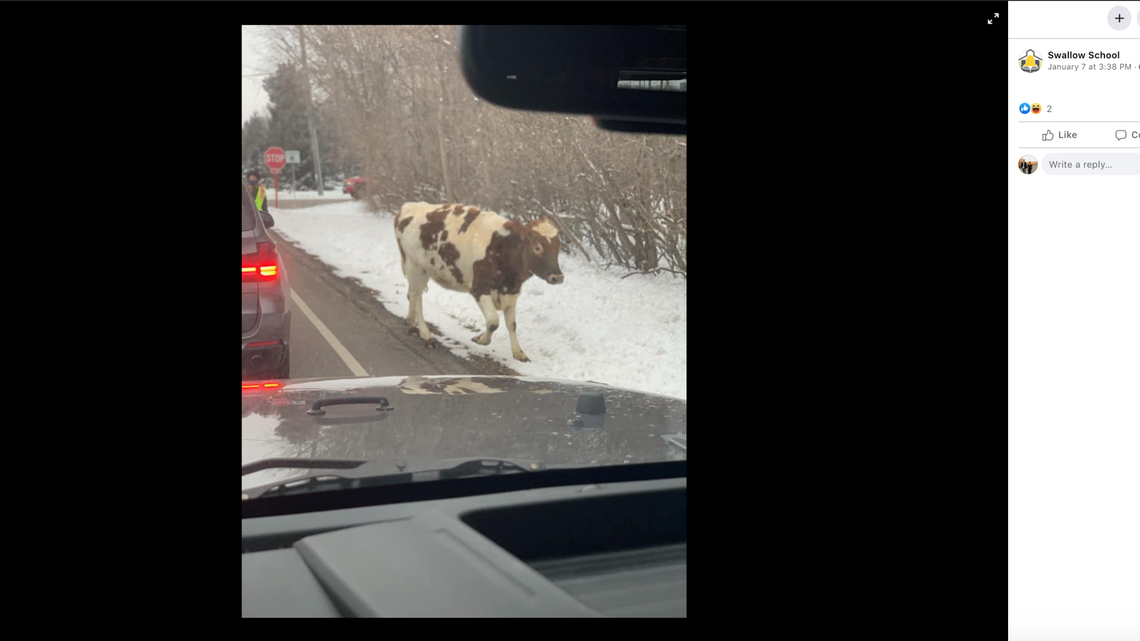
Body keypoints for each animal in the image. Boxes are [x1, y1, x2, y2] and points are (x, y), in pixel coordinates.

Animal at [394, 202, 564, 362]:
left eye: (557, 247)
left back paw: (411, 324)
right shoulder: (479, 288)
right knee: (416, 297)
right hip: (415, 267)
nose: (558, 277)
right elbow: (493, 321)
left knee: (412, 295)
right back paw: (426, 335)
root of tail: (409, 207)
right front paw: (481, 339)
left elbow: (512, 324)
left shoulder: (512, 293)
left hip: (422, 270)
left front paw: (518, 352)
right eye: (537, 247)